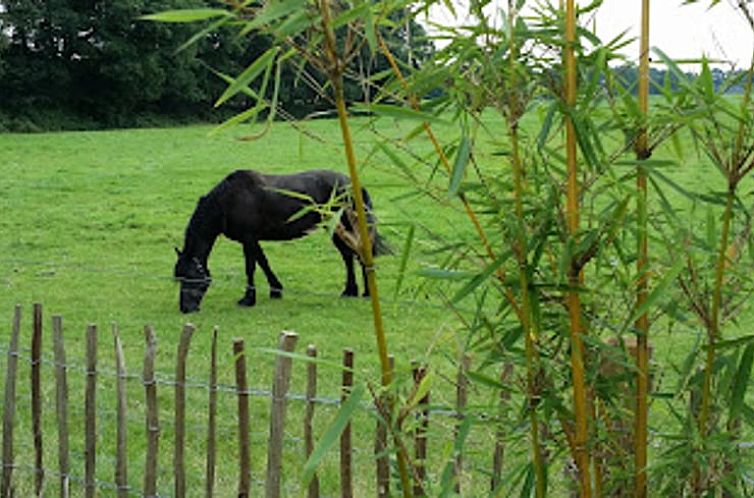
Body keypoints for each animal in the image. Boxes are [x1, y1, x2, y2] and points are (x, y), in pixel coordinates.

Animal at [173, 169, 384, 314]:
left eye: (189, 277)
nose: (186, 309)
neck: (228, 201)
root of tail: (352, 184)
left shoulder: (248, 239)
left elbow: (251, 268)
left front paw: (248, 299)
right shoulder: (252, 240)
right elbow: (263, 262)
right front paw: (276, 290)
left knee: (358, 255)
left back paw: (366, 293)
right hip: (336, 229)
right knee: (348, 256)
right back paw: (350, 291)